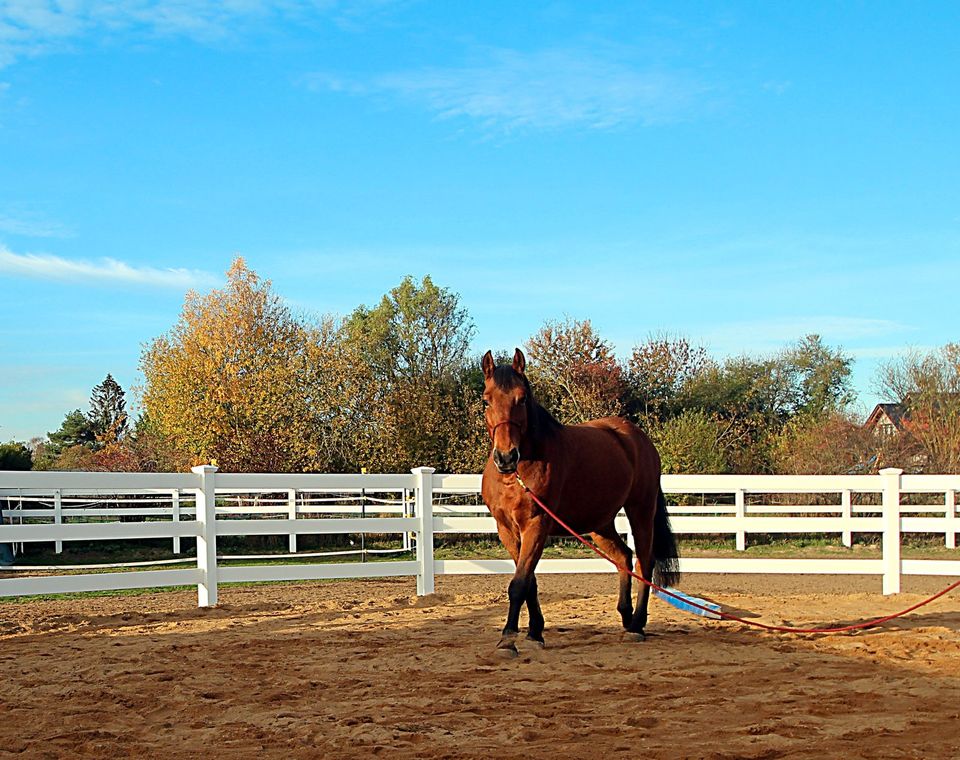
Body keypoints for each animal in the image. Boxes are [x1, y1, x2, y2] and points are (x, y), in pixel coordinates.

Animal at [478, 348, 676, 652]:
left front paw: (509, 638)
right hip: (600, 523)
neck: (519, 473)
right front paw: (535, 631)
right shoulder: (507, 530)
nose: (506, 457)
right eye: (486, 400)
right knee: (624, 557)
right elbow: (529, 582)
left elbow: (520, 583)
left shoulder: (536, 525)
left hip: (640, 510)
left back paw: (637, 626)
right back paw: (626, 615)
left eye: (522, 398)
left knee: (645, 561)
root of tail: (638, 438)